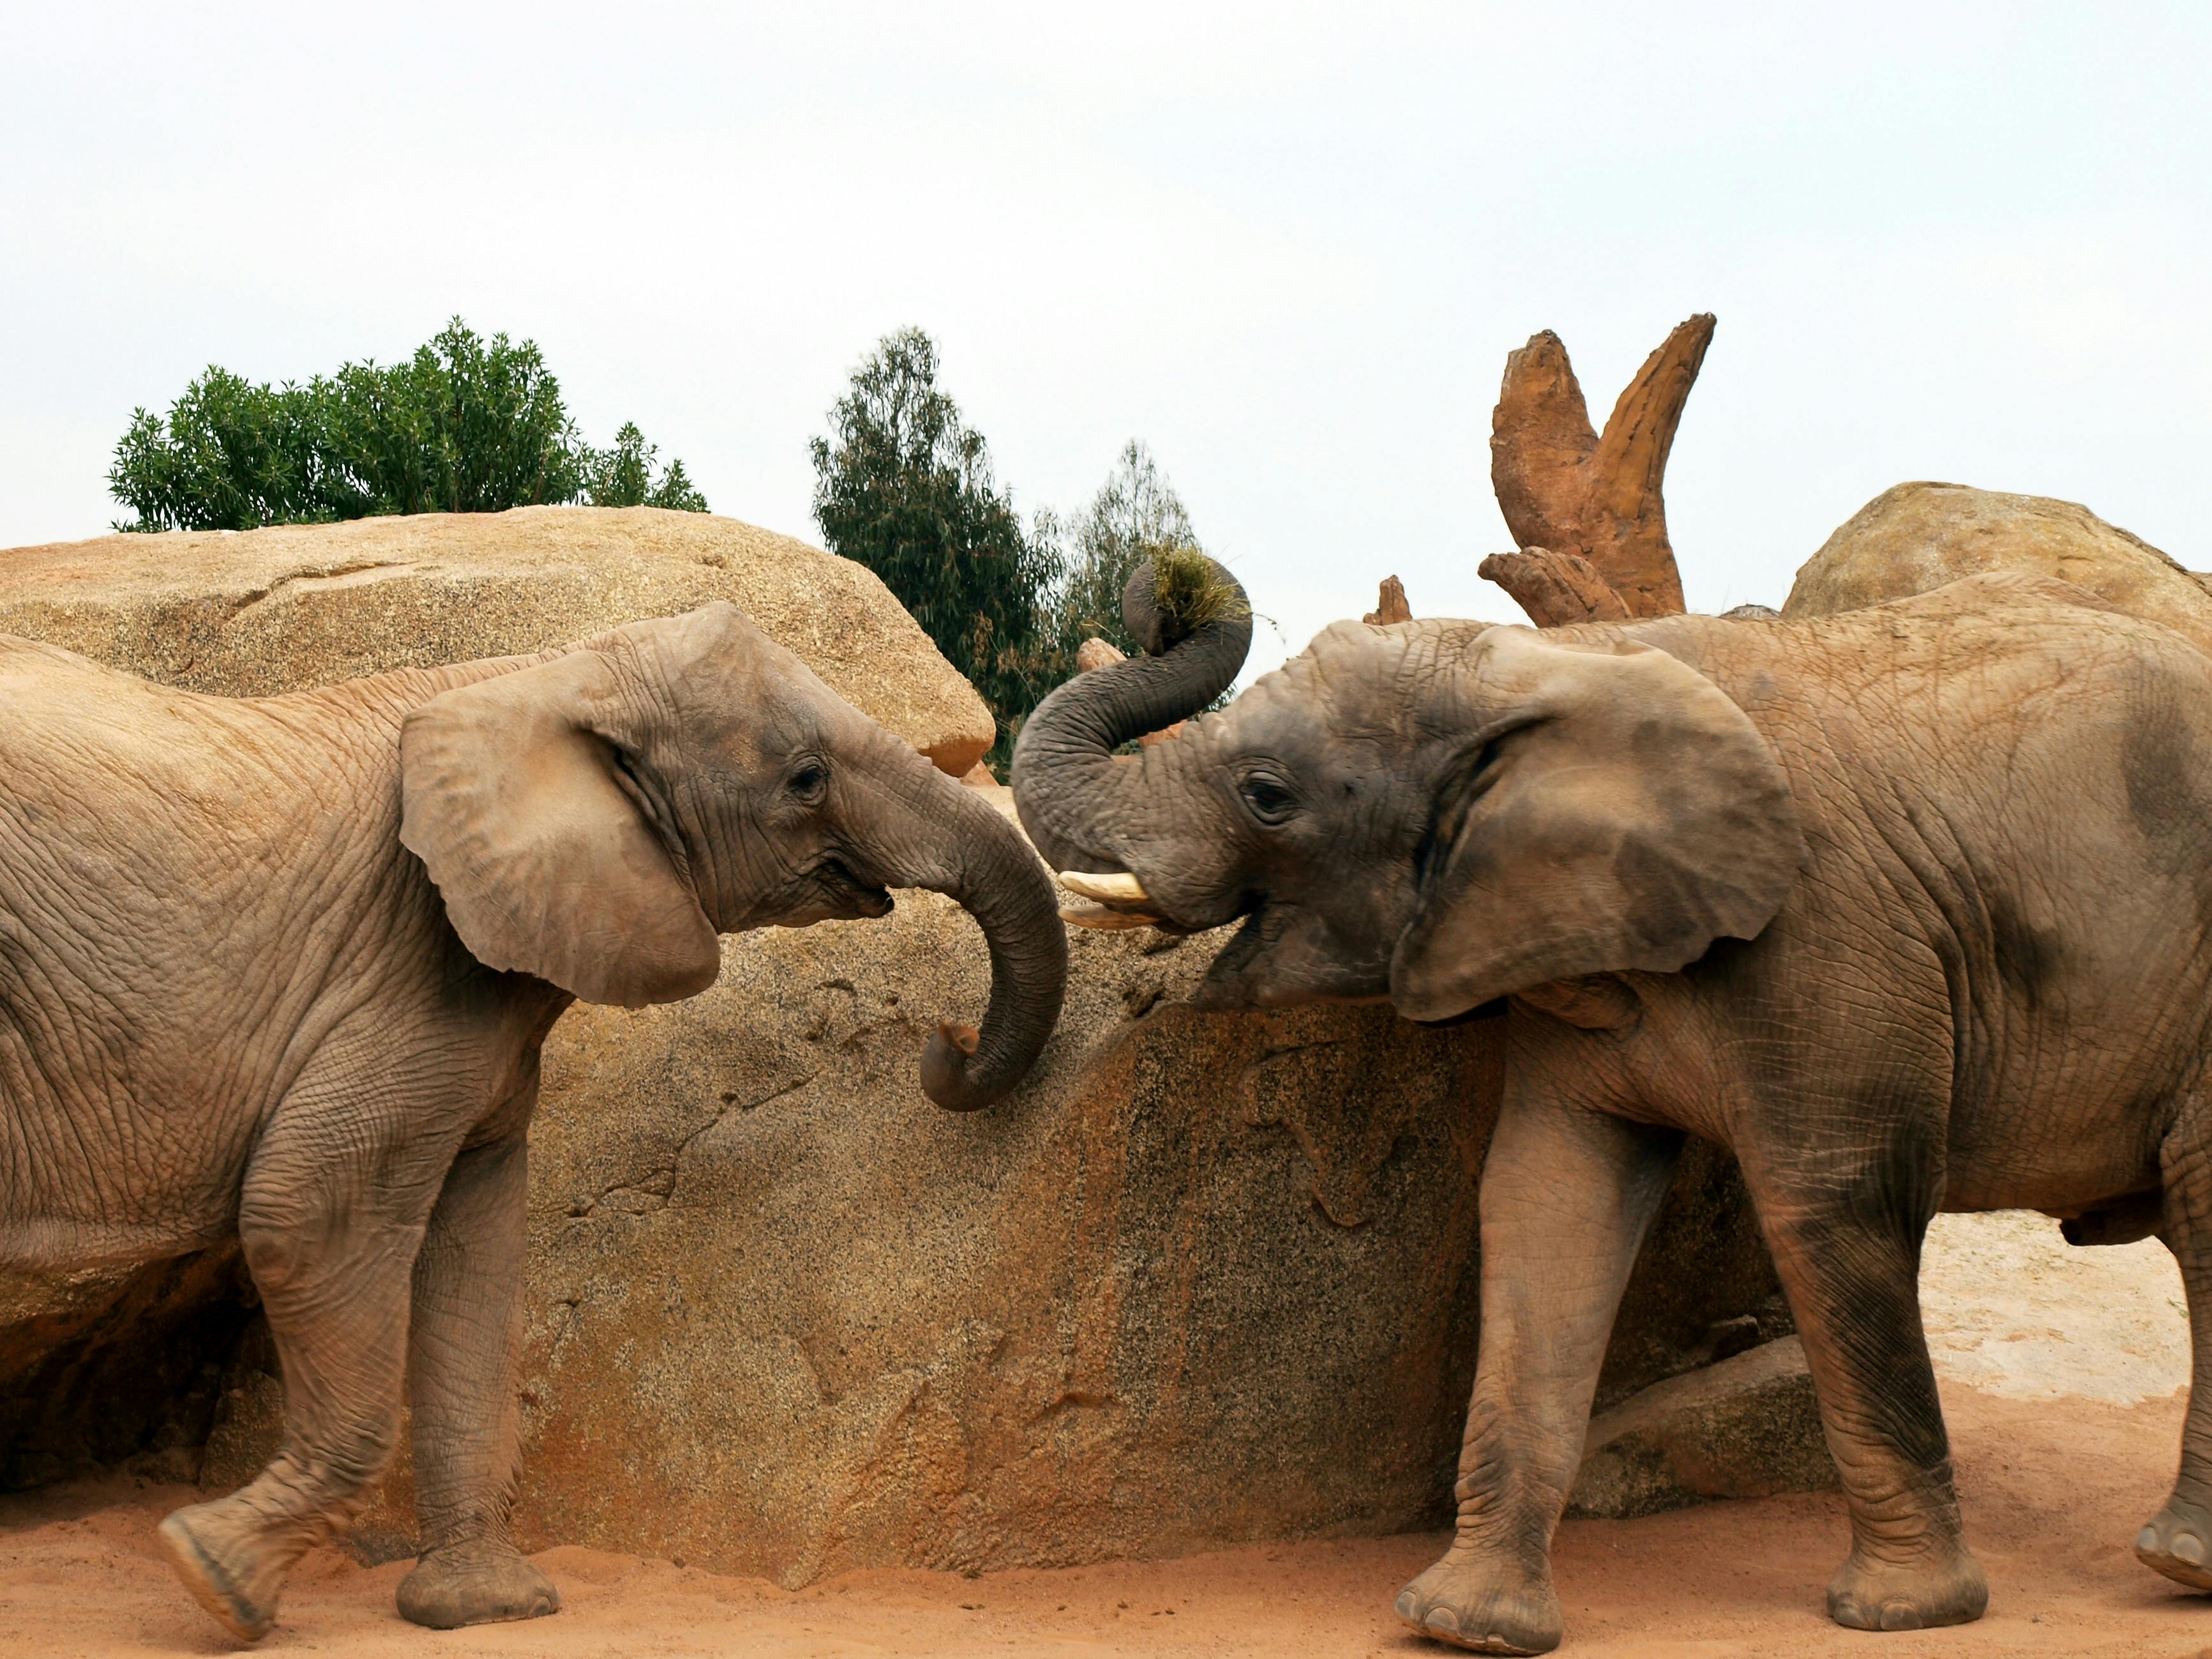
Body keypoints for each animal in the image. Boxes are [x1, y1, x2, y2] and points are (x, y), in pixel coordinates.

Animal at [0, 606, 1071, 1646]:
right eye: (806, 779)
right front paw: (215, 1577)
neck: (547, 672)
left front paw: (482, 1608)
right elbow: (309, 1209)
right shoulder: (412, 957)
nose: (947, 1039)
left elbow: (476, 1254)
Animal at [1021, 559, 2212, 1655]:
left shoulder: (1832, 937)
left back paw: (2175, 1563)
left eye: (1267, 793)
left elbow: (1830, 1206)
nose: (1165, 586)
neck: (1560, 661)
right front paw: (1463, 1624)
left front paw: (1904, 1613)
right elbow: (1548, 1199)